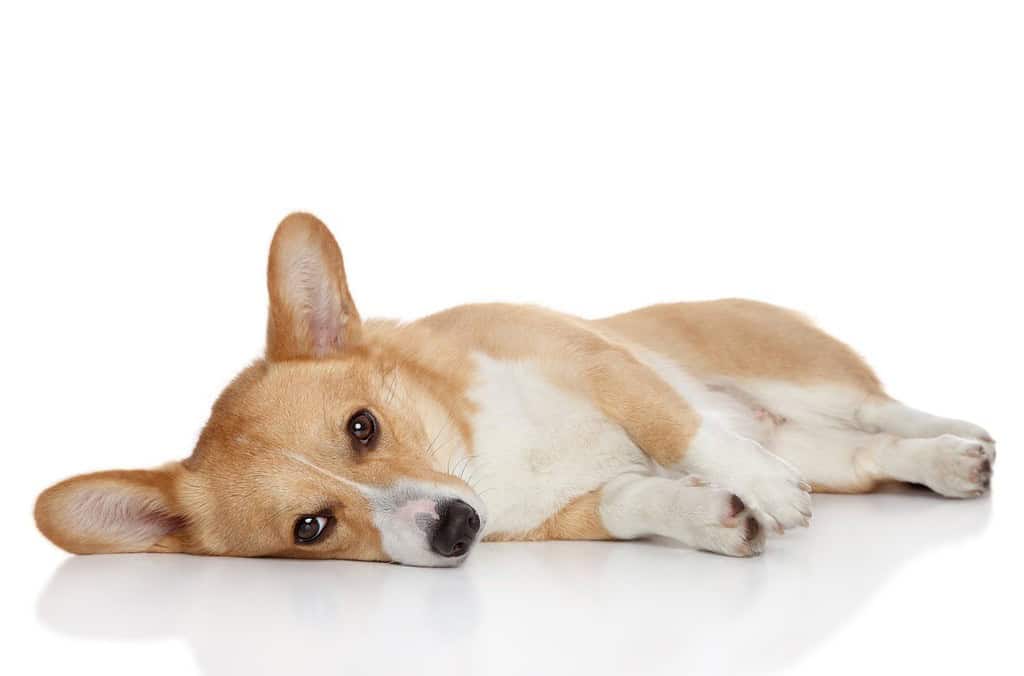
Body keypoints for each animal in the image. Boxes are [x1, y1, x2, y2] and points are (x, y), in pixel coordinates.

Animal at [34, 210, 999, 565]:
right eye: (310, 527)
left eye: (362, 427)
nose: (455, 528)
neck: (481, 461)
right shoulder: (575, 511)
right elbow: (636, 501)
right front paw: (715, 515)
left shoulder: (595, 360)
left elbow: (677, 427)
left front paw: (757, 488)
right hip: (820, 444)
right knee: (873, 454)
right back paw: (944, 466)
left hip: (795, 374)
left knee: (883, 406)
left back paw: (962, 436)